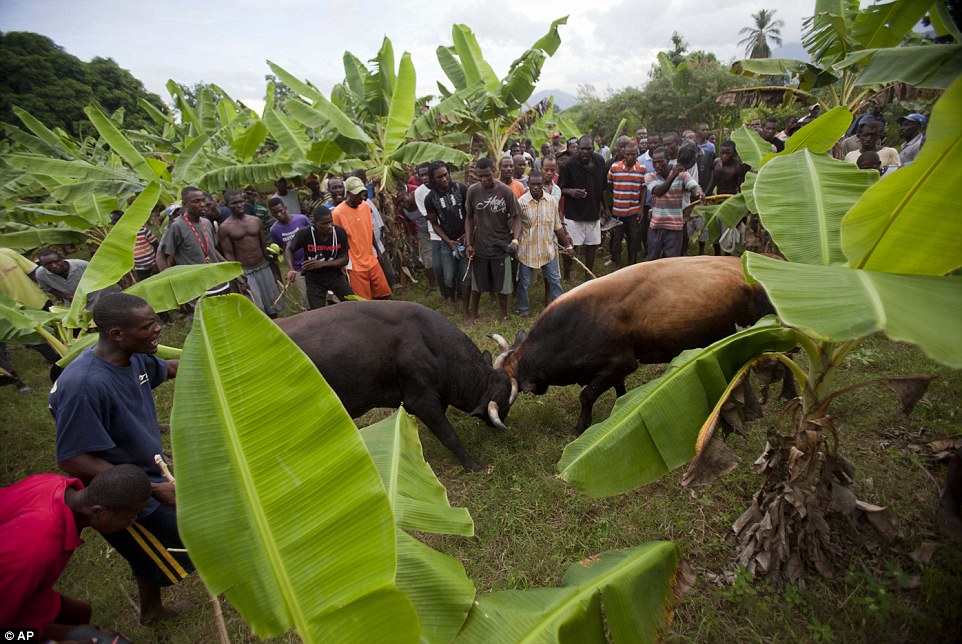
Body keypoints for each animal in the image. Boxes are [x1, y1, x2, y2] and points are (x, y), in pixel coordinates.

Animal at [492, 255, 776, 432]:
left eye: (505, 398)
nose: (493, 422)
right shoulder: (616, 369)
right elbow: (620, 390)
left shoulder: (621, 363)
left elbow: (587, 396)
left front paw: (581, 427)